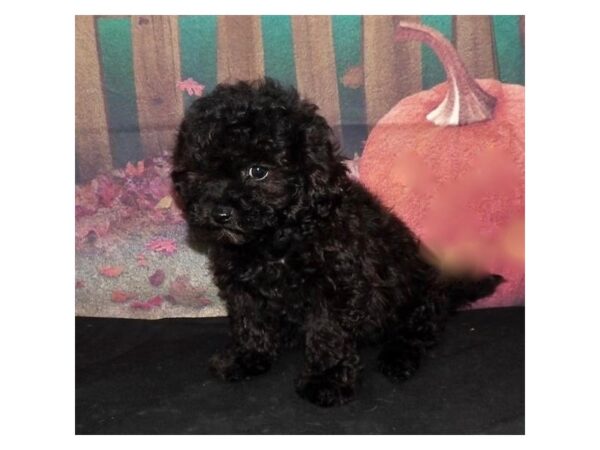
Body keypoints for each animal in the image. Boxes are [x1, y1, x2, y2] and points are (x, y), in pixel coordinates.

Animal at [172, 78, 502, 408]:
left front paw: (326, 379)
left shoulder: (334, 283)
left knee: (418, 329)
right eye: (200, 171)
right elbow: (248, 320)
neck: (275, 239)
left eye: (258, 171)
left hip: (418, 295)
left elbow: (327, 331)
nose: (220, 214)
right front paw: (248, 357)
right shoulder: (241, 283)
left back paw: (398, 357)